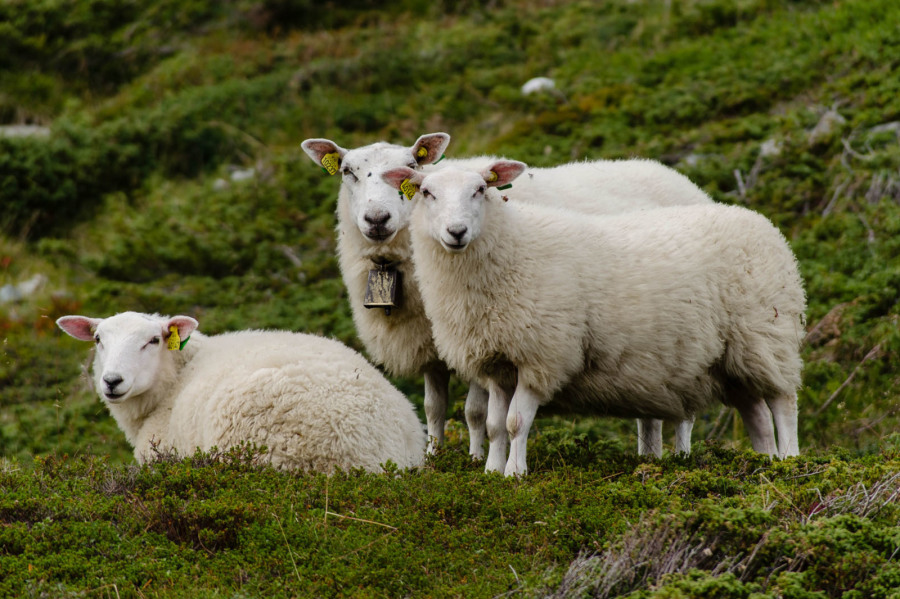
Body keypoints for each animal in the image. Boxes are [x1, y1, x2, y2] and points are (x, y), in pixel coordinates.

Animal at [304, 134, 716, 458]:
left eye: (410, 164)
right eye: (348, 172)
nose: (377, 219)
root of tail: (675, 176)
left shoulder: (485, 332)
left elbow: (474, 411)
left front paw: (475, 458)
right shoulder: (435, 341)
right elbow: (434, 406)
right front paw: (433, 457)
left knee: (684, 409)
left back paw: (680, 458)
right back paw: (650, 457)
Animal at [384, 161, 804, 478]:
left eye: (480, 189)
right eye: (426, 192)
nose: (456, 232)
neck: (511, 248)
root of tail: (763, 224)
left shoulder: (543, 355)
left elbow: (516, 422)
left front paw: (515, 474)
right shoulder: (497, 361)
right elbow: (493, 424)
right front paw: (491, 471)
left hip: (767, 337)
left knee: (783, 404)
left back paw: (789, 462)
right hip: (733, 361)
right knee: (756, 414)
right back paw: (763, 461)